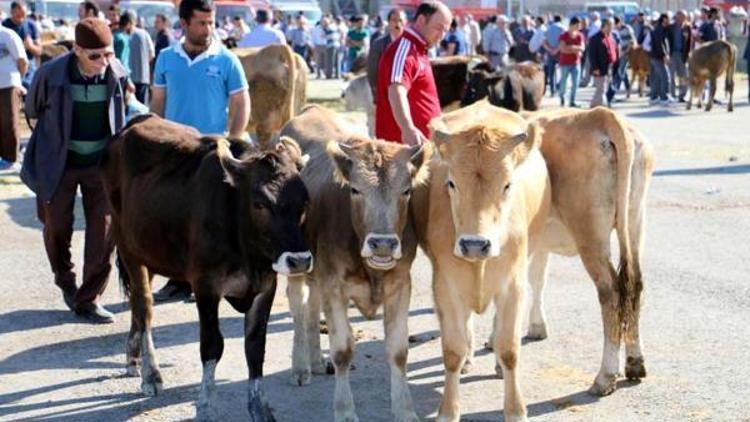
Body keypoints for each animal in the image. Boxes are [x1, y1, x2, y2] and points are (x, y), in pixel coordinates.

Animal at [100, 113, 312, 420]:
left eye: (304, 200)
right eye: (260, 203)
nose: (300, 260)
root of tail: (136, 121)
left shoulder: (265, 287)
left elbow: (255, 347)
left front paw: (259, 407)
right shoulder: (206, 286)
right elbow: (213, 345)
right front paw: (205, 405)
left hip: (148, 251)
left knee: (138, 308)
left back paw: (133, 357)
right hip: (128, 249)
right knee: (144, 307)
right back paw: (151, 374)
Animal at [280, 105, 428, 422]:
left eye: (406, 190)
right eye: (355, 190)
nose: (382, 243)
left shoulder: (400, 285)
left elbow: (398, 351)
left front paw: (405, 409)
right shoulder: (335, 287)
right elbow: (342, 351)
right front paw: (345, 410)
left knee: (312, 308)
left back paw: (315, 360)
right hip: (296, 262)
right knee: (298, 309)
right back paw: (300, 366)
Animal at [412, 102, 552, 422]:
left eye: (508, 185)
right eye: (451, 183)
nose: (474, 244)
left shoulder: (513, 286)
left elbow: (510, 348)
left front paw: (515, 410)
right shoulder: (445, 286)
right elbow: (452, 350)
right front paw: (448, 411)